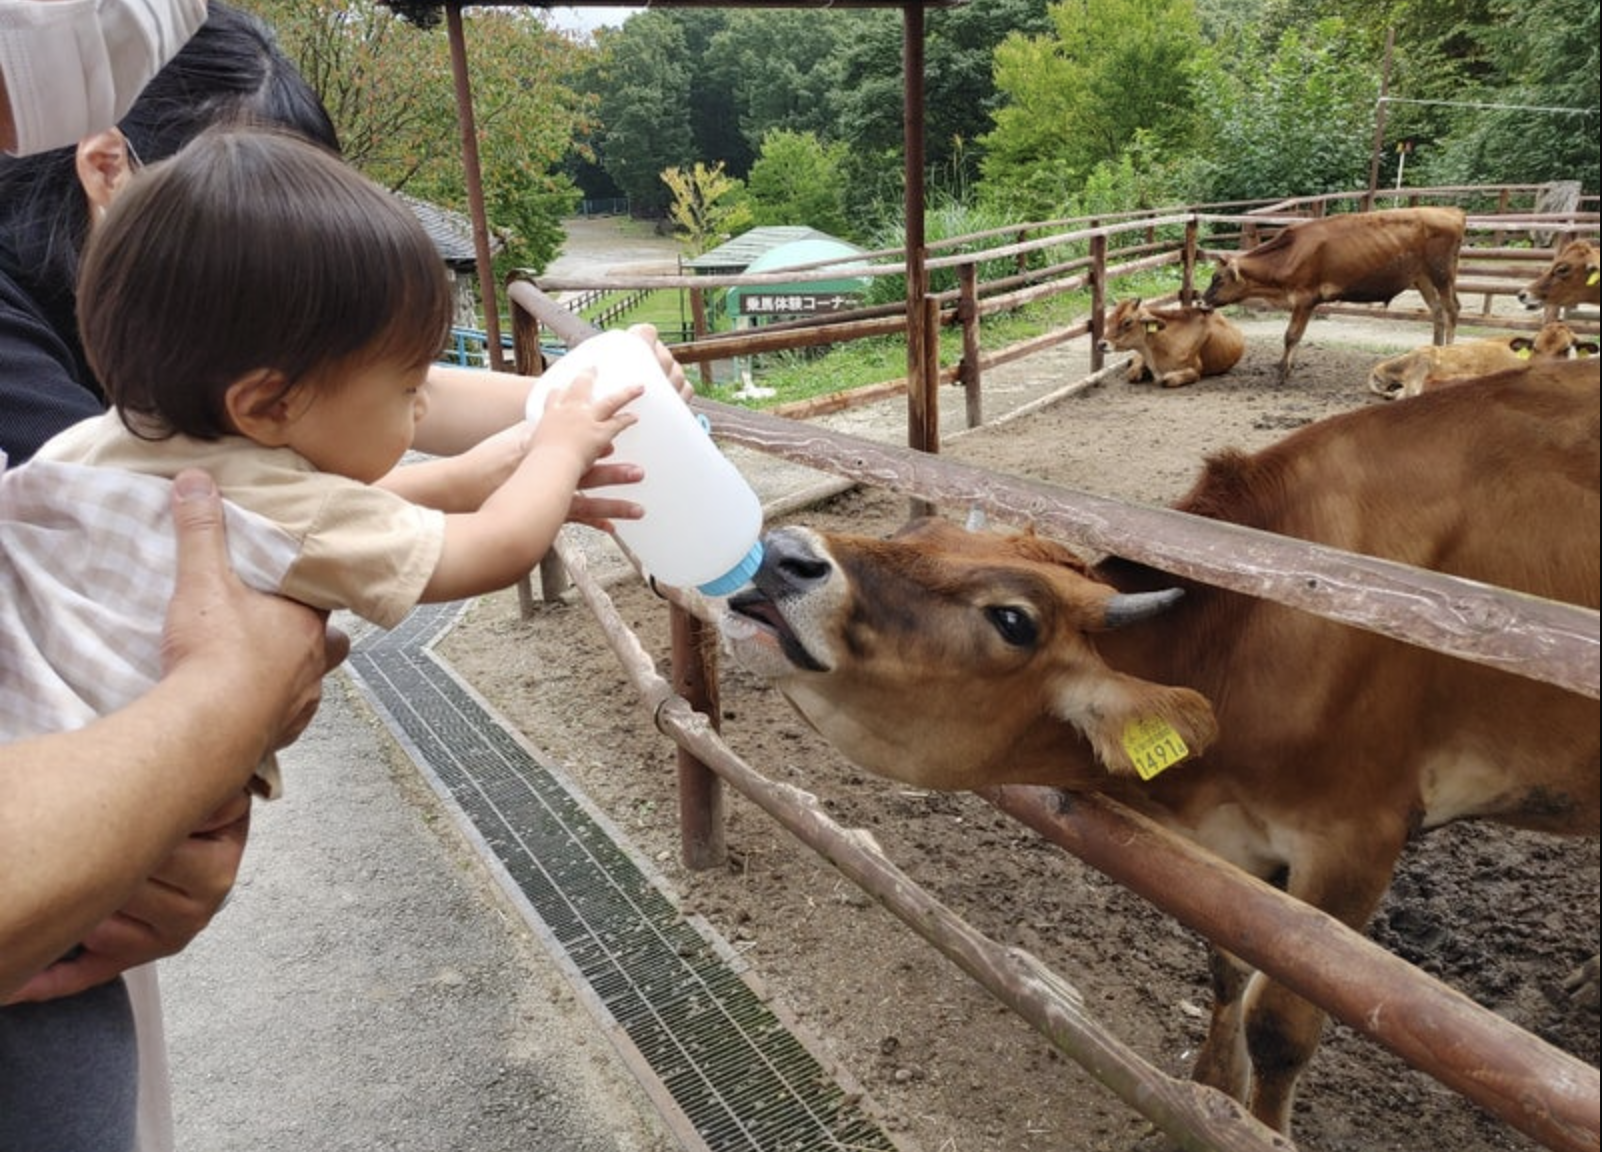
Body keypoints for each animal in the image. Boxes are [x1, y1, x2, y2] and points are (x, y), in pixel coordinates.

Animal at [720, 358, 1595, 1134]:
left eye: (1013, 619)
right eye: (918, 527)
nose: (784, 554)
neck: (1250, 643)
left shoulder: (1356, 844)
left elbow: (1282, 1024)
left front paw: (1259, 1127)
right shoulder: (1231, 850)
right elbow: (1228, 962)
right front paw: (1209, 1090)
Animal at [1095, 298, 1243, 387]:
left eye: (1127, 322)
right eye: (1108, 320)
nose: (1101, 344)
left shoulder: (1195, 371)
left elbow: (1166, 379)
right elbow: (1132, 374)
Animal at [1204, 206, 1467, 382]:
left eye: (1218, 279)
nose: (1203, 299)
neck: (1290, 253)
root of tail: (1452, 211)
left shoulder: (1305, 298)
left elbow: (1291, 335)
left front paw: (1283, 371)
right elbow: (1295, 336)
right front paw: (1285, 366)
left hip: (1442, 273)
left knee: (1452, 310)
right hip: (1422, 277)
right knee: (1437, 311)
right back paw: (1435, 351)